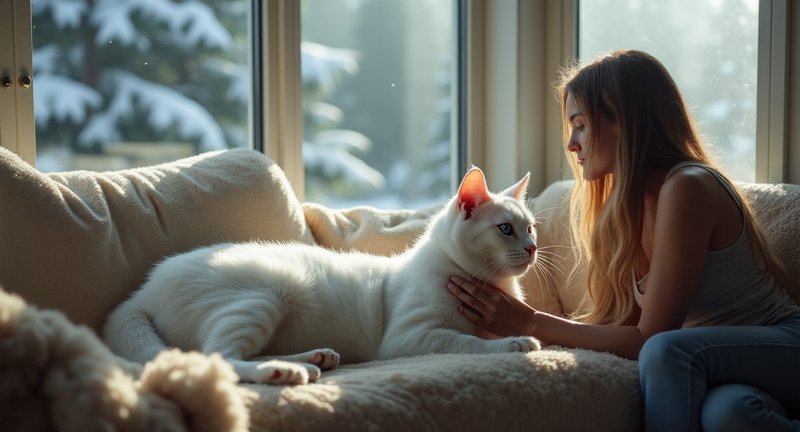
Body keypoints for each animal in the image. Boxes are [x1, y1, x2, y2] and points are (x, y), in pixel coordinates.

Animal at [103, 168, 540, 384]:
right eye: (506, 229)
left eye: (531, 228)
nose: (534, 248)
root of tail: (142, 291)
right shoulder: (409, 336)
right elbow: (467, 341)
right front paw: (514, 343)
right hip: (268, 292)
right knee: (218, 357)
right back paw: (283, 372)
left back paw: (316, 359)